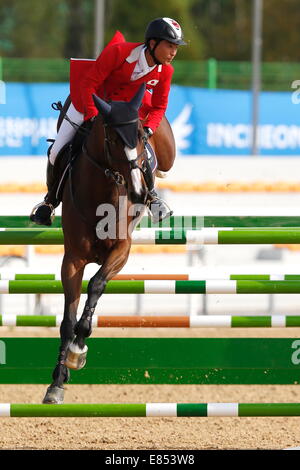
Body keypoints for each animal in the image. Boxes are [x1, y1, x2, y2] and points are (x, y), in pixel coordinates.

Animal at [42, 85, 176, 404]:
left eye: (141, 137)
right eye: (113, 139)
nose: (139, 192)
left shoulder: (121, 251)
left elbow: (96, 286)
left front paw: (78, 350)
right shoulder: (73, 259)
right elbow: (68, 319)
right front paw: (58, 380)